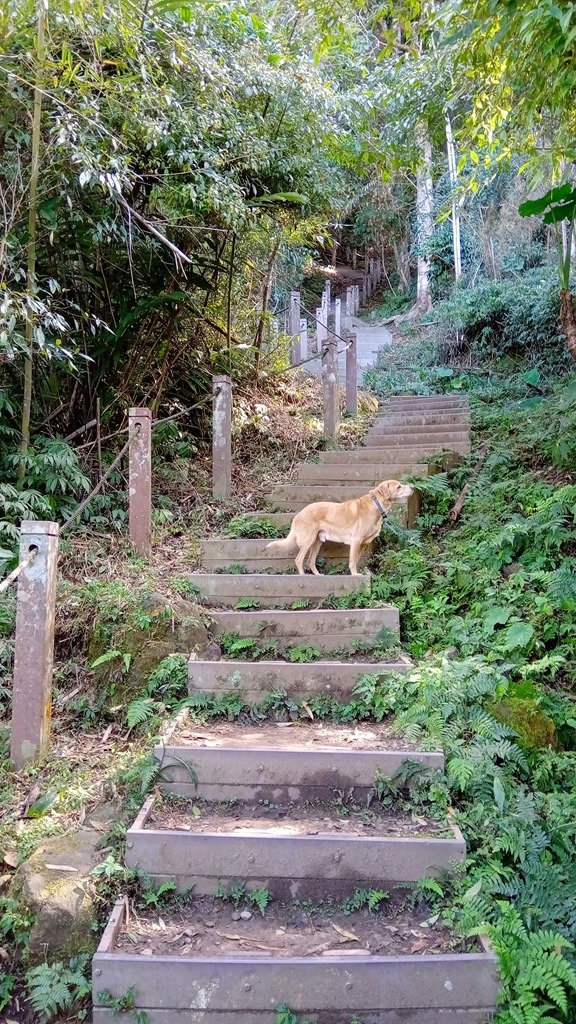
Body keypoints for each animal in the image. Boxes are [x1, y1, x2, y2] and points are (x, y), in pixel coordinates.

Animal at [264, 479, 412, 577]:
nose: (412, 487)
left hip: (317, 542)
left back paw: (318, 576)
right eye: (399, 487)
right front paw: (355, 575)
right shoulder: (356, 541)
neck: (377, 505)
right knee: (299, 560)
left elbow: (356, 560)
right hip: (308, 540)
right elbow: (352, 561)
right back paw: (303, 576)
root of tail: (297, 515)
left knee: (310, 561)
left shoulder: (363, 544)